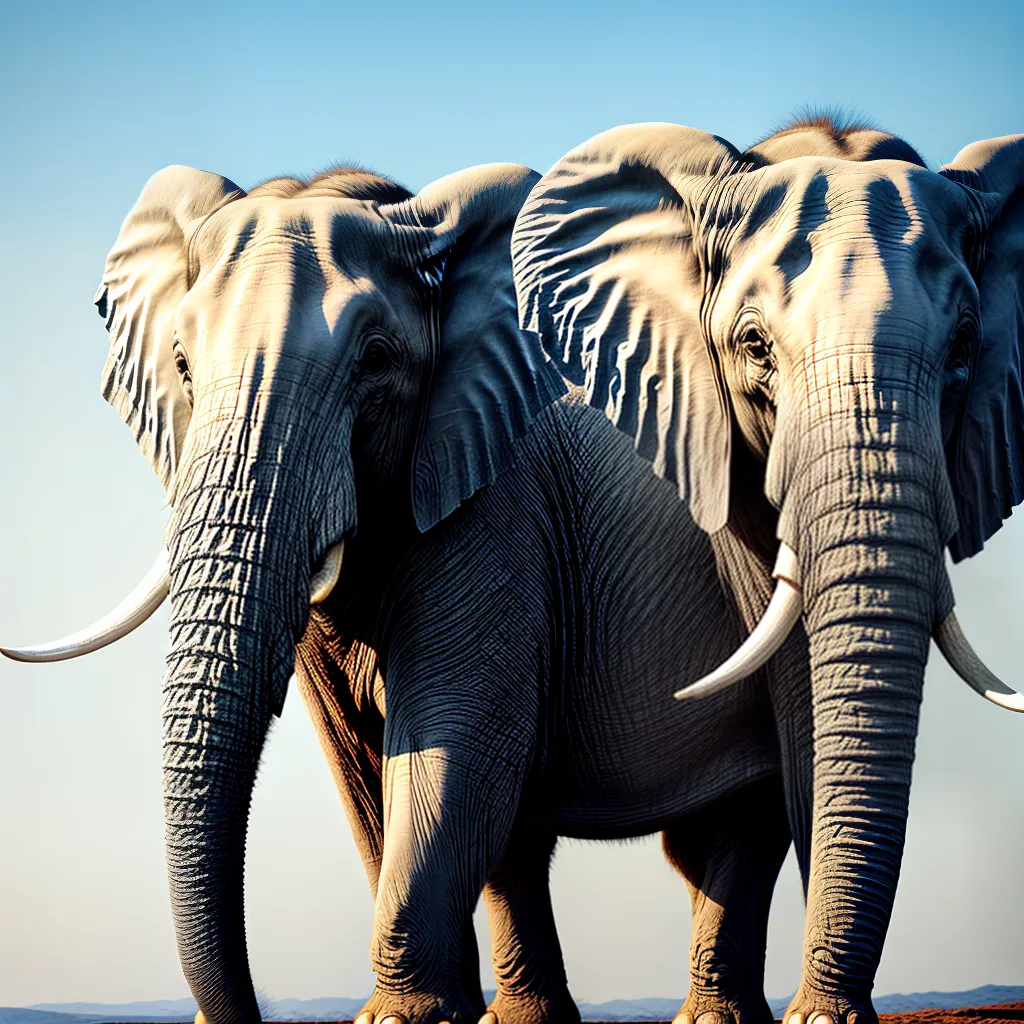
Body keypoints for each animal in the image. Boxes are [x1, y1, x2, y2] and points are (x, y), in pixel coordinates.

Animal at [0, 160, 810, 1024]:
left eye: (374, 362)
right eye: (182, 365)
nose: (246, 1006)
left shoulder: (497, 509)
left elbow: (454, 746)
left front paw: (397, 1016)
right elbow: (363, 771)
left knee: (741, 820)